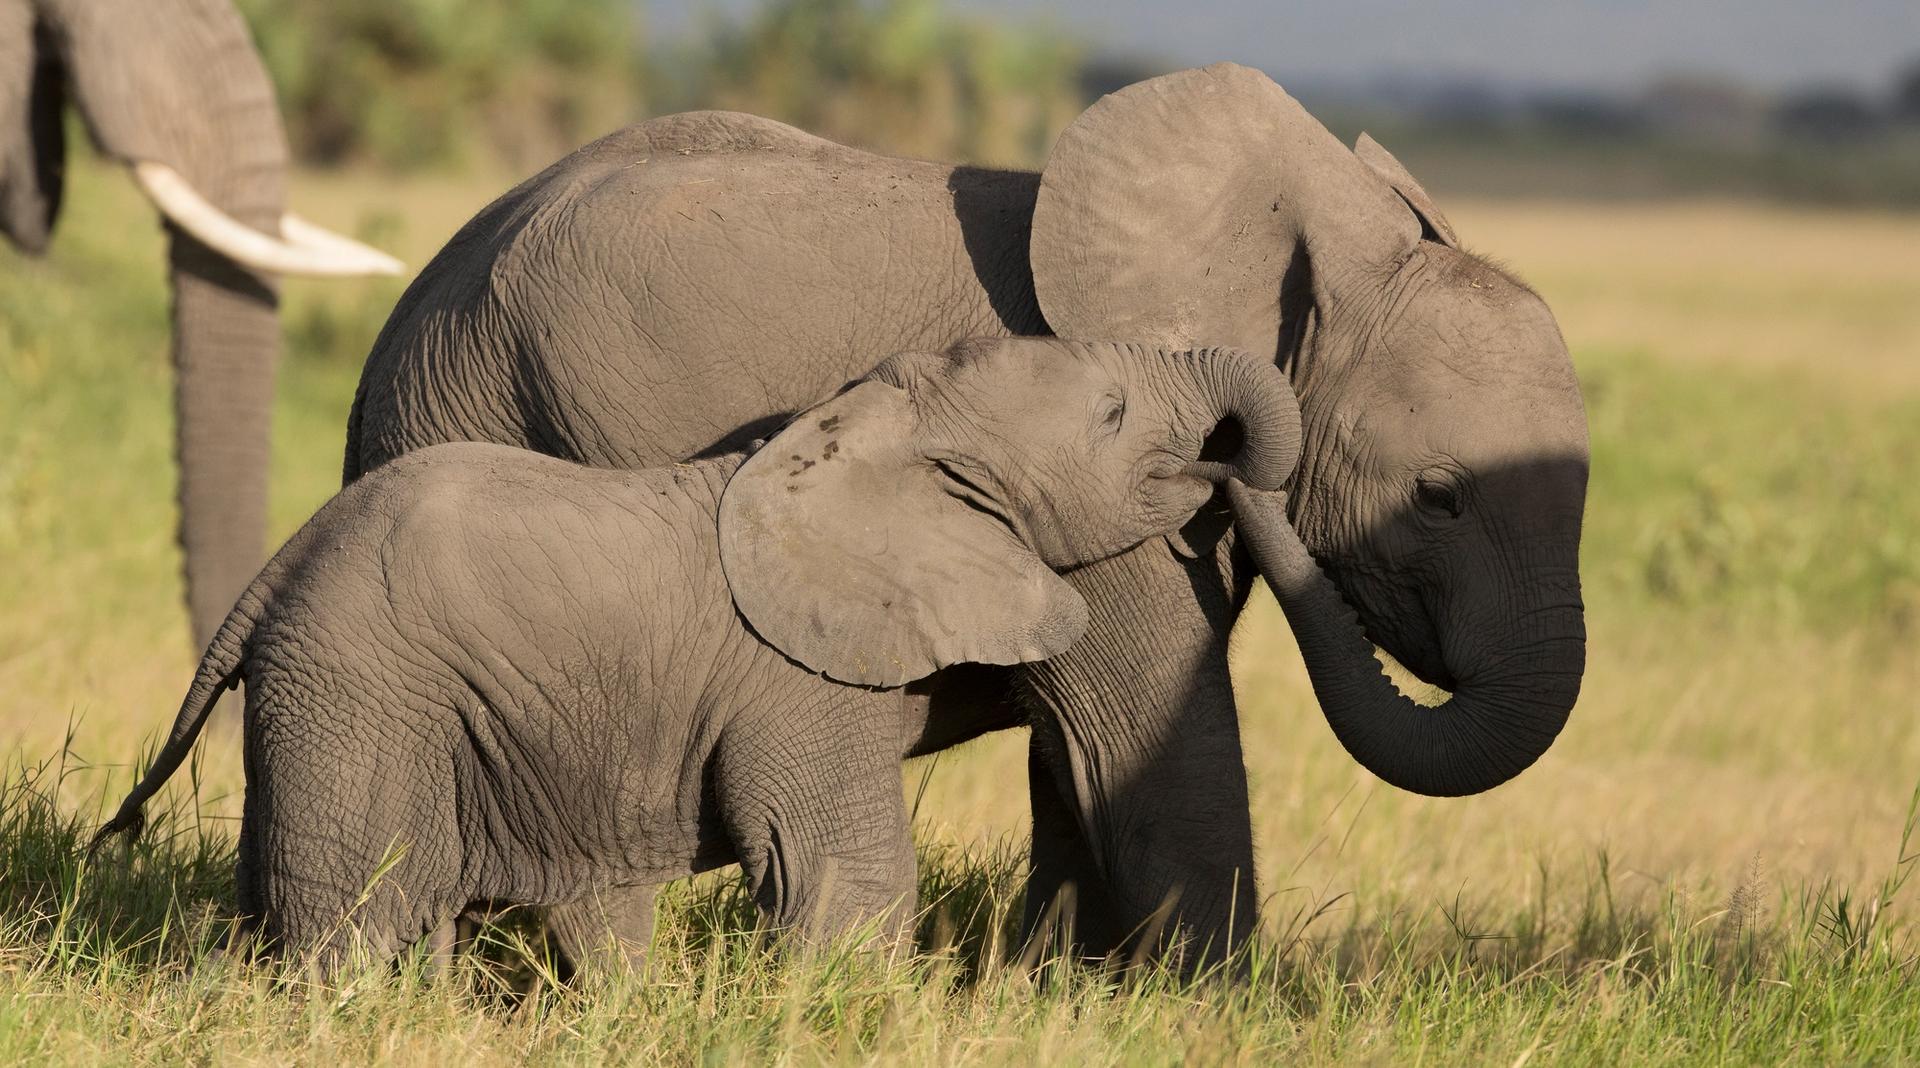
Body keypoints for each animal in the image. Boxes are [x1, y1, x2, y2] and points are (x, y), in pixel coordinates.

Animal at [90, 337, 1303, 979]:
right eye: (1113, 413)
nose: (1222, 471)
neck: (877, 429)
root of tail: (269, 579)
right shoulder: (802, 683)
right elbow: (843, 871)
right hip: (357, 698)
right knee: (349, 922)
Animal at [343, 63, 1590, 966]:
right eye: (1439, 497)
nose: (1236, 468)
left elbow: (1086, 759)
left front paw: (1065, 994)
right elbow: (1146, 737)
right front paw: (1213, 1011)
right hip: (467, 397)